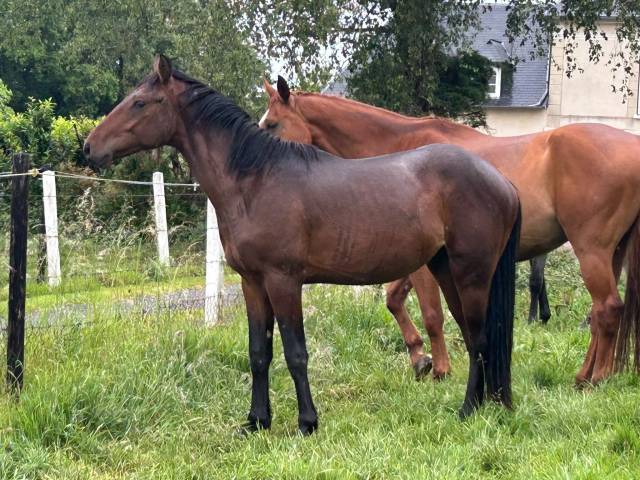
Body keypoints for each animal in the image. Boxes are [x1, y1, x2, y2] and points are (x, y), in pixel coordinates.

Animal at [84, 55, 521, 433]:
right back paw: (483, 405)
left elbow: (296, 353)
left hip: (471, 275)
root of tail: (501, 182)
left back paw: (467, 409)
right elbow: (258, 353)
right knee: (472, 336)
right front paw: (256, 421)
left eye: (140, 102)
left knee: (480, 338)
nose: (89, 147)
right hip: (447, 270)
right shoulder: (253, 283)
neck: (255, 180)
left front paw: (307, 423)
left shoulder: (283, 281)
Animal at [259, 76, 640, 386]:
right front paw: (420, 358)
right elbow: (393, 299)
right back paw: (587, 373)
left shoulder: (424, 265)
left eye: (272, 124)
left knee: (607, 309)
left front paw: (440, 368)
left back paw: (595, 378)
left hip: (591, 250)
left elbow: (432, 315)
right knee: (601, 314)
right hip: (610, 253)